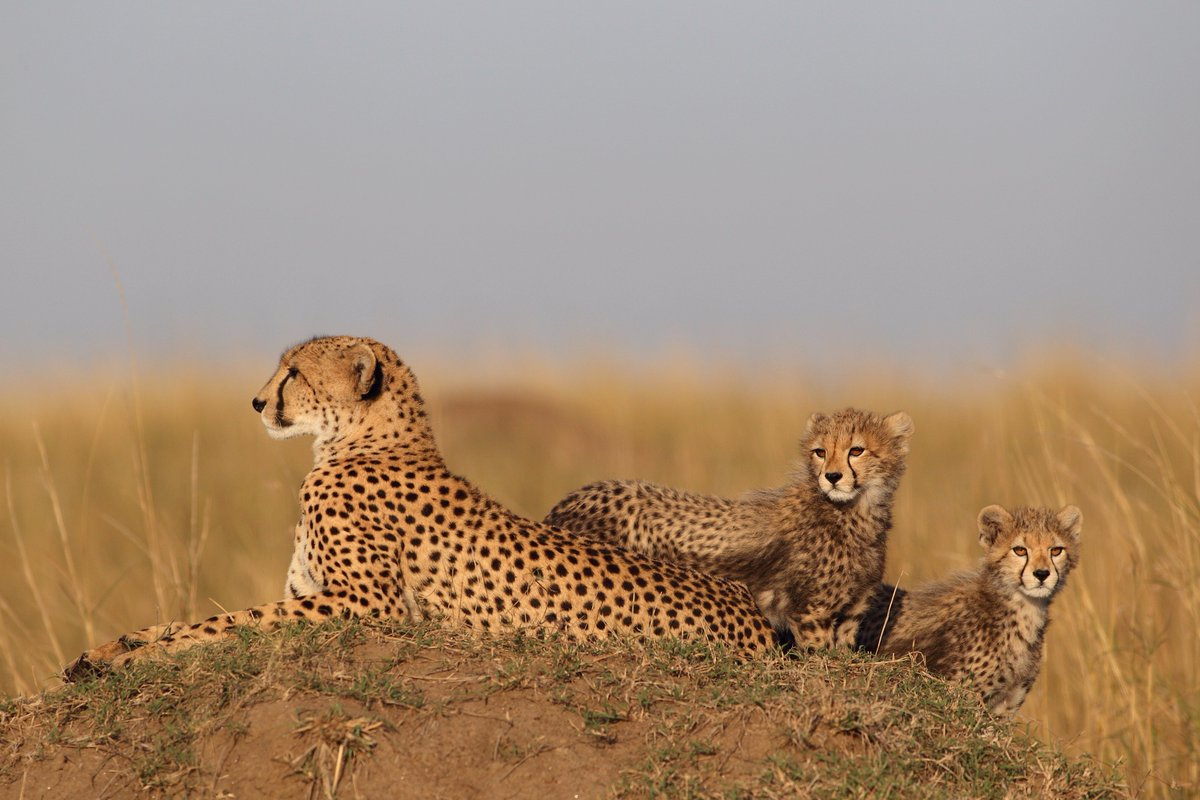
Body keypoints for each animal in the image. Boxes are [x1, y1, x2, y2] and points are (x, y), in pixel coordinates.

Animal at [62, 336, 779, 679]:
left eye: (294, 372)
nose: (258, 402)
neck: (360, 440)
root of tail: (757, 622)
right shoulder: (313, 593)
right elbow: (207, 617)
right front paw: (112, 647)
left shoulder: (368, 607)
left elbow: (232, 623)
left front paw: (136, 658)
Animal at [544, 407, 914, 650]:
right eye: (820, 452)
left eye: (857, 450)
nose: (832, 476)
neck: (856, 511)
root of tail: (571, 498)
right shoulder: (810, 613)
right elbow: (819, 656)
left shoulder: (851, 610)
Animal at [854, 504, 1082, 715]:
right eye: (1020, 550)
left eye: (1056, 550)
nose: (1042, 574)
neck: (1025, 609)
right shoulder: (959, 694)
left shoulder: (1004, 707)